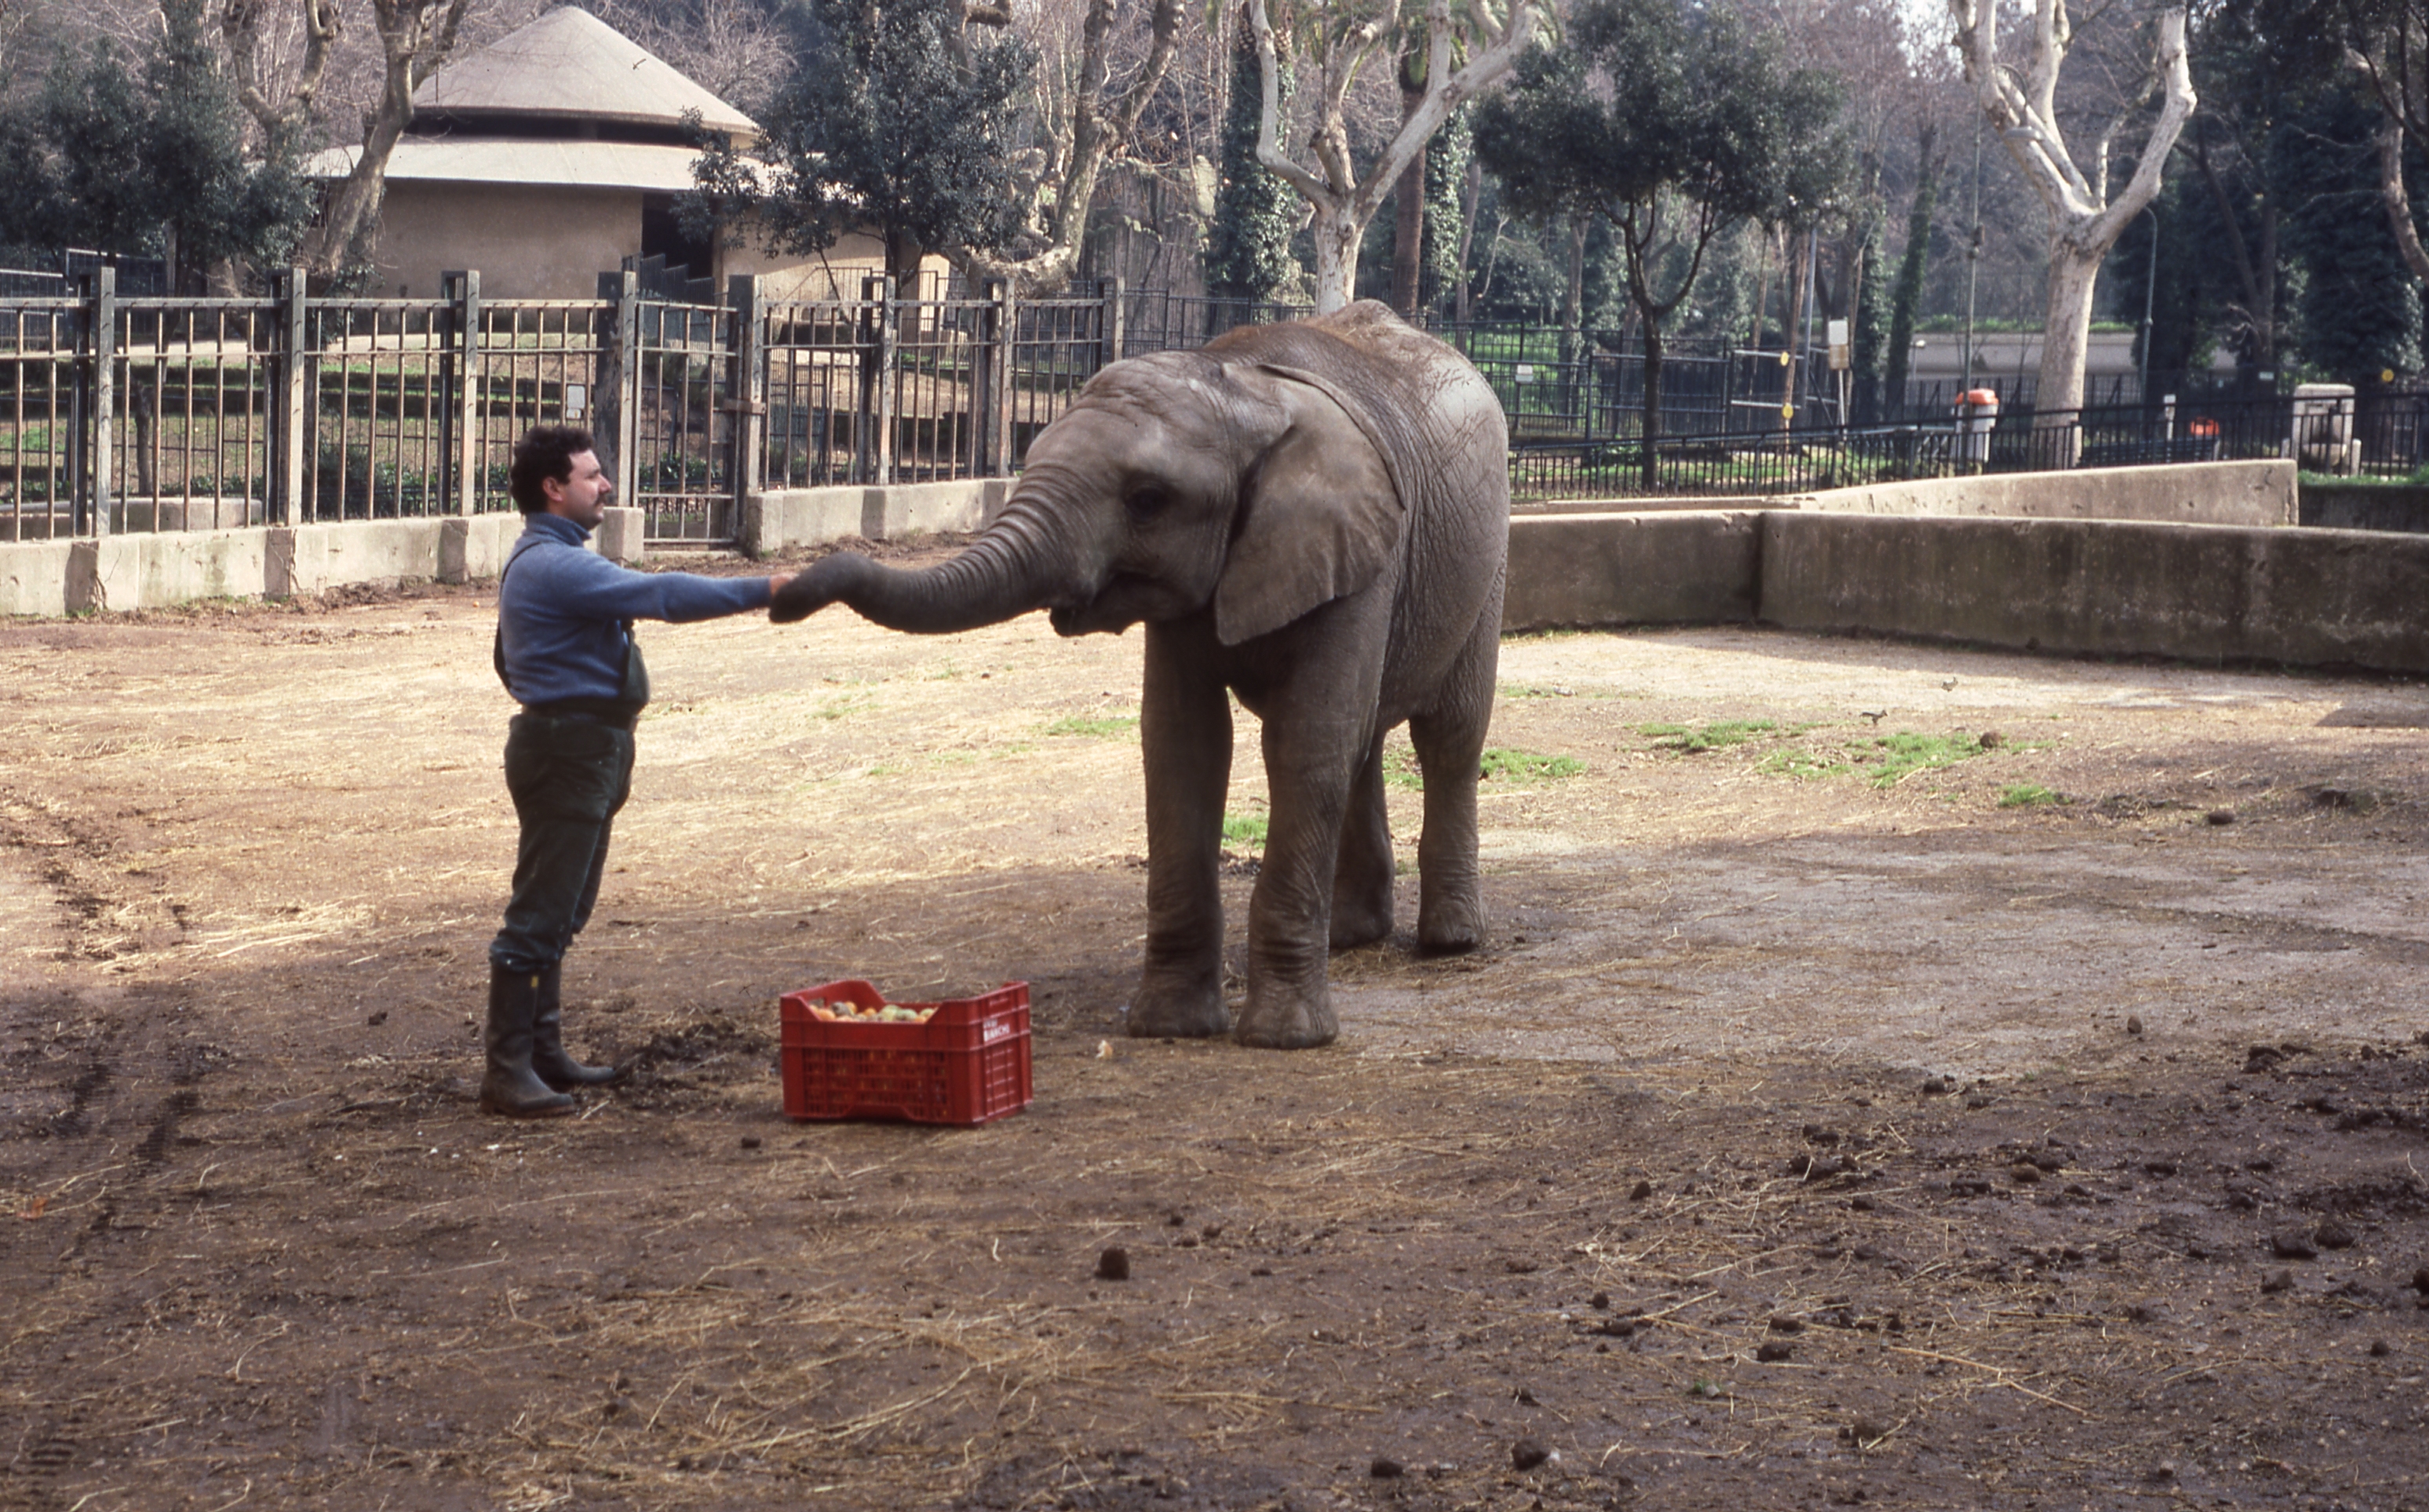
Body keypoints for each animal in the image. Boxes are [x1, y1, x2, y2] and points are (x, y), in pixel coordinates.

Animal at [772, 302, 1496, 1048]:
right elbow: (1183, 744)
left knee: (1447, 735)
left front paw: (1284, 1038)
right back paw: (1353, 936)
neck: (1240, 385)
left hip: (1483, 562)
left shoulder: (1357, 549)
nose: (781, 596)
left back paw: (1450, 940)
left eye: (1147, 499)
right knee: (1366, 738)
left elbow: (1306, 741)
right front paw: (1170, 1027)